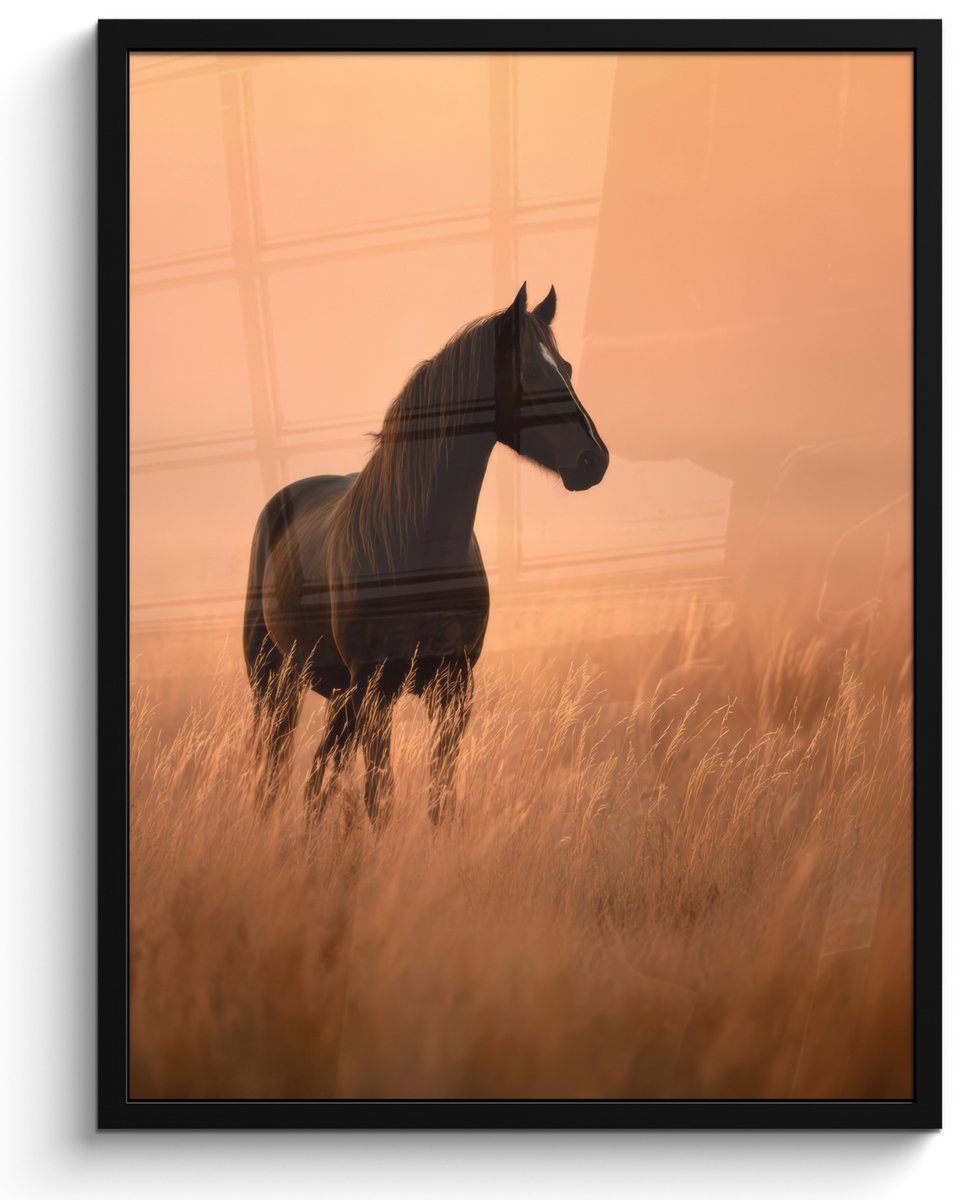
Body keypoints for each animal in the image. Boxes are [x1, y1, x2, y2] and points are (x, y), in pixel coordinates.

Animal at [243, 283, 609, 827]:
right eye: (528, 371)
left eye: (564, 366)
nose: (593, 460)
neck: (418, 549)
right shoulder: (377, 690)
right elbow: (381, 797)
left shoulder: (453, 689)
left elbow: (442, 798)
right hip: (277, 681)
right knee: (275, 773)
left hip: (337, 695)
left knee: (316, 781)